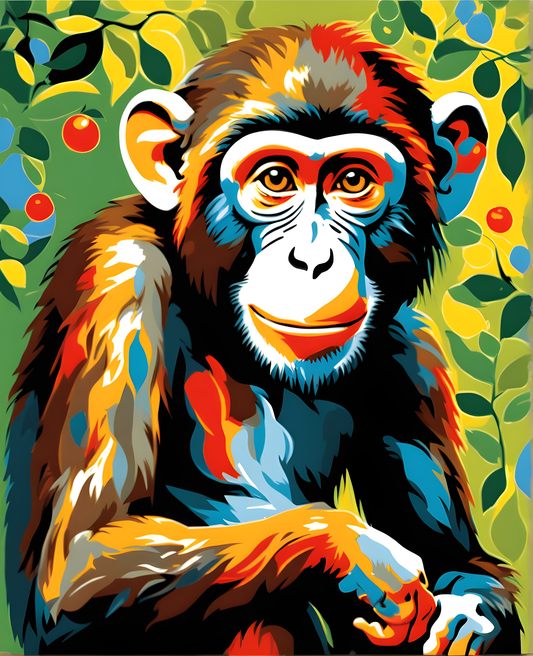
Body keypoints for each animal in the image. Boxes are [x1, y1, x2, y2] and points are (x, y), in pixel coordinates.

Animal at [6, 22, 521, 655]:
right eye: (275, 179)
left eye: (353, 181)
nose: (312, 258)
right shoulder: (119, 280)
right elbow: (80, 566)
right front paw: (361, 556)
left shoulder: (411, 359)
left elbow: (461, 562)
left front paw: (464, 617)